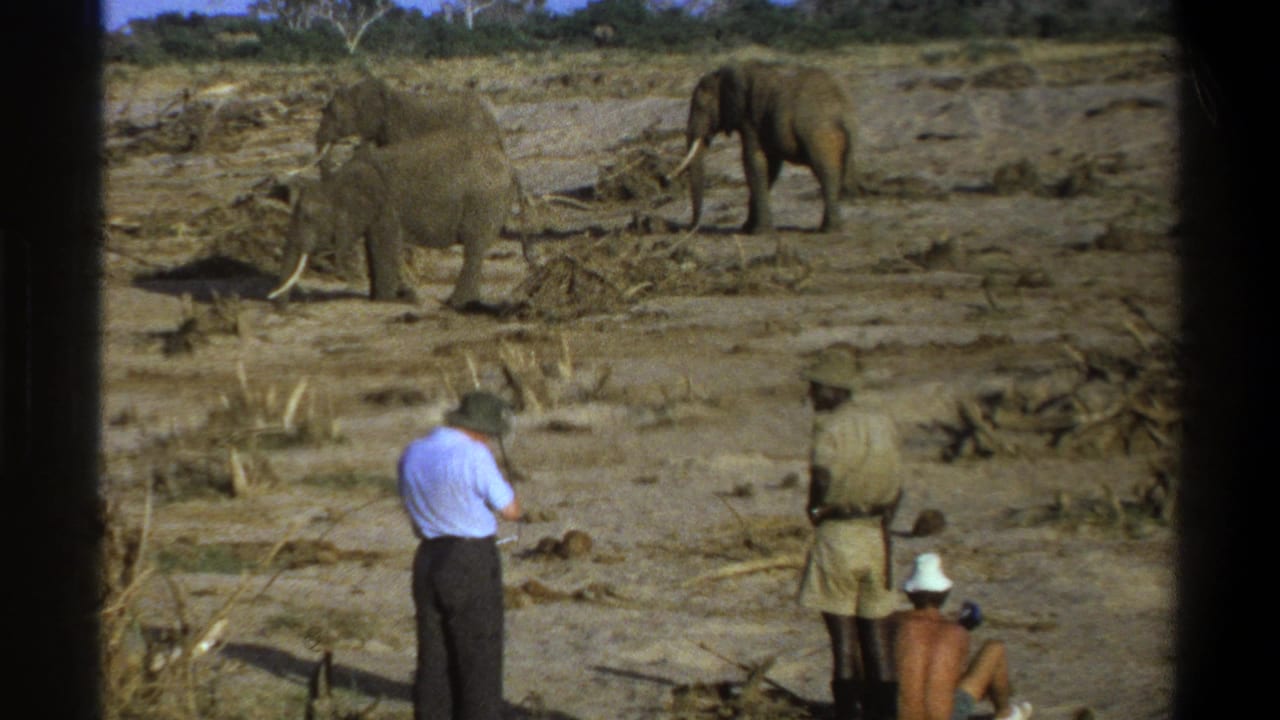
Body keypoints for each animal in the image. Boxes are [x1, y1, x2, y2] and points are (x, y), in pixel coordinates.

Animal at [269, 128, 516, 308]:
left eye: (308, 217)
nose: (282, 308)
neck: (338, 181)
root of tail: (508, 164)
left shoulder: (386, 208)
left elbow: (384, 246)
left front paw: (386, 300)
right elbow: (372, 246)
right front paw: (382, 297)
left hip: (483, 202)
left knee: (474, 248)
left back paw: (455, 304)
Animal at [672, 62, 858, 234]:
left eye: (700, 107)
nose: (689, 228)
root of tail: (844, 112)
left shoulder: (750, 118)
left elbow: (753, 161)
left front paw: (759, 233)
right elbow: (770, 167)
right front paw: (747, 228)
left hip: (819, 134)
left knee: (825, 171)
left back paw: (829, 230)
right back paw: (833, 228)